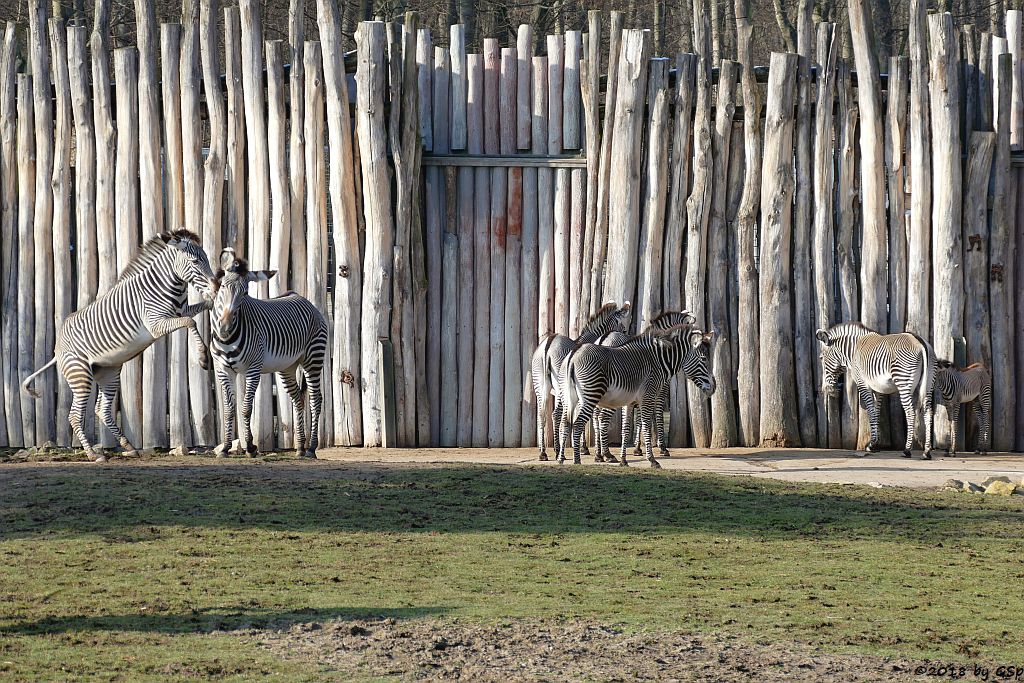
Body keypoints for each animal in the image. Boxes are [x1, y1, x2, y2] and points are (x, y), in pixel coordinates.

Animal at [20, 231, 216, 464]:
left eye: (206, 258)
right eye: (195, 262)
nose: (216, 285)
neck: (168, 287)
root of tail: (57, 350)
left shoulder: (181, 311)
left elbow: (199, 310)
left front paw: (217, 301)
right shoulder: (156, 324)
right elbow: (190, 322)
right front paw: (203, 357)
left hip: (108, 371)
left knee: (102, 410)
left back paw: (128, 446)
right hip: (80, 375)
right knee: (75, 415)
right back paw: (93, 454)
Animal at [210, 250, 329, 458]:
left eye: (245, 293)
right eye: (223, 286)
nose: (224, 327)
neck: (228, 339)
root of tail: (301, 297)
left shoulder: (253, 368)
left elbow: (246, 408)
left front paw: (250, 447)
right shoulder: (223, 369)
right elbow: (229, 410)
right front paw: (224, 448)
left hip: (313, 358)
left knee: (315, 400)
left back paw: (311, 448)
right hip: (287, 367)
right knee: (298, 399)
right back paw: (300, 447)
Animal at [528, 301, 630, 462]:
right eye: (620, 323)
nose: (626, 332)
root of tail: (548, 346)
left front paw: (583, 448)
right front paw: (585, 448)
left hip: (540, 385)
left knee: (542, 415)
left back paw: (543, 452)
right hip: (560, 388)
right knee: (557, 415)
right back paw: (558, 451)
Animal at [557, 323, 716, 466]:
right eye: (704, 359)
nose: (713, 387)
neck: (658, 361)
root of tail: (574, 355)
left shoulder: (630, 402)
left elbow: (626, 430)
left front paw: (623, 460)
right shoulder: (649, 396)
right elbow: (646, 426)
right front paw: (652, 459)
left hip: (569, 397)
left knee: (565, 423)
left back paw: (561, 458)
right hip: (591, 395)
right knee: (578, 424)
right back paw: (577, 461)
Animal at [815, 323, 937, 462]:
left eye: (821, 358)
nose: (828, 390)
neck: (854, 350)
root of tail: (920, 343)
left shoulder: (863, 384)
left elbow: (871, 412)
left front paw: (871, 445)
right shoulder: (878, 390)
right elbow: (877, 413)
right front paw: (876, 443)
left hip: (903, 380)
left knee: (910, 413)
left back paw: (907, 450)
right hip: (929, 383)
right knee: (928, 412)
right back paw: (926, 452)